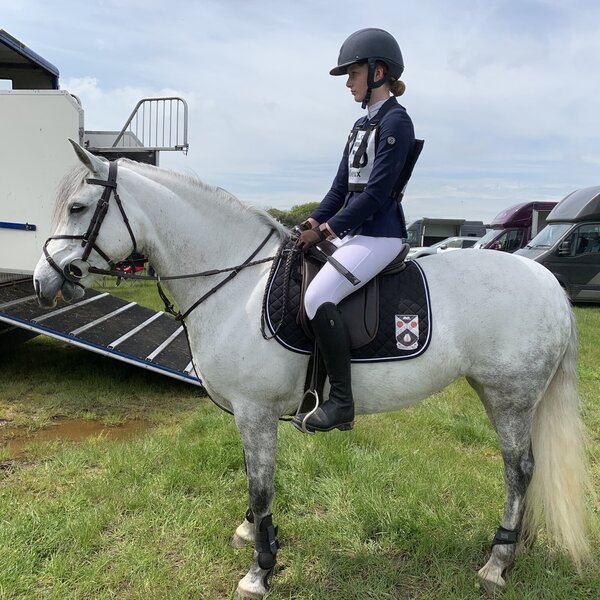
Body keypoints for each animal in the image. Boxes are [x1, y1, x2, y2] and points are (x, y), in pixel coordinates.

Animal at [35, 142, 592, 600]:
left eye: (78, 207)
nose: (44, 282)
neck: (237, 286)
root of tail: (544, 278)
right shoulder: (250, 415)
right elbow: (253, 480)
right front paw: (250, 534)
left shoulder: (255, 411)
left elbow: (261, 488)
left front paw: (259, 571)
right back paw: (517, 548)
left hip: (509, 397)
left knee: (519, 470)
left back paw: (497, 564)